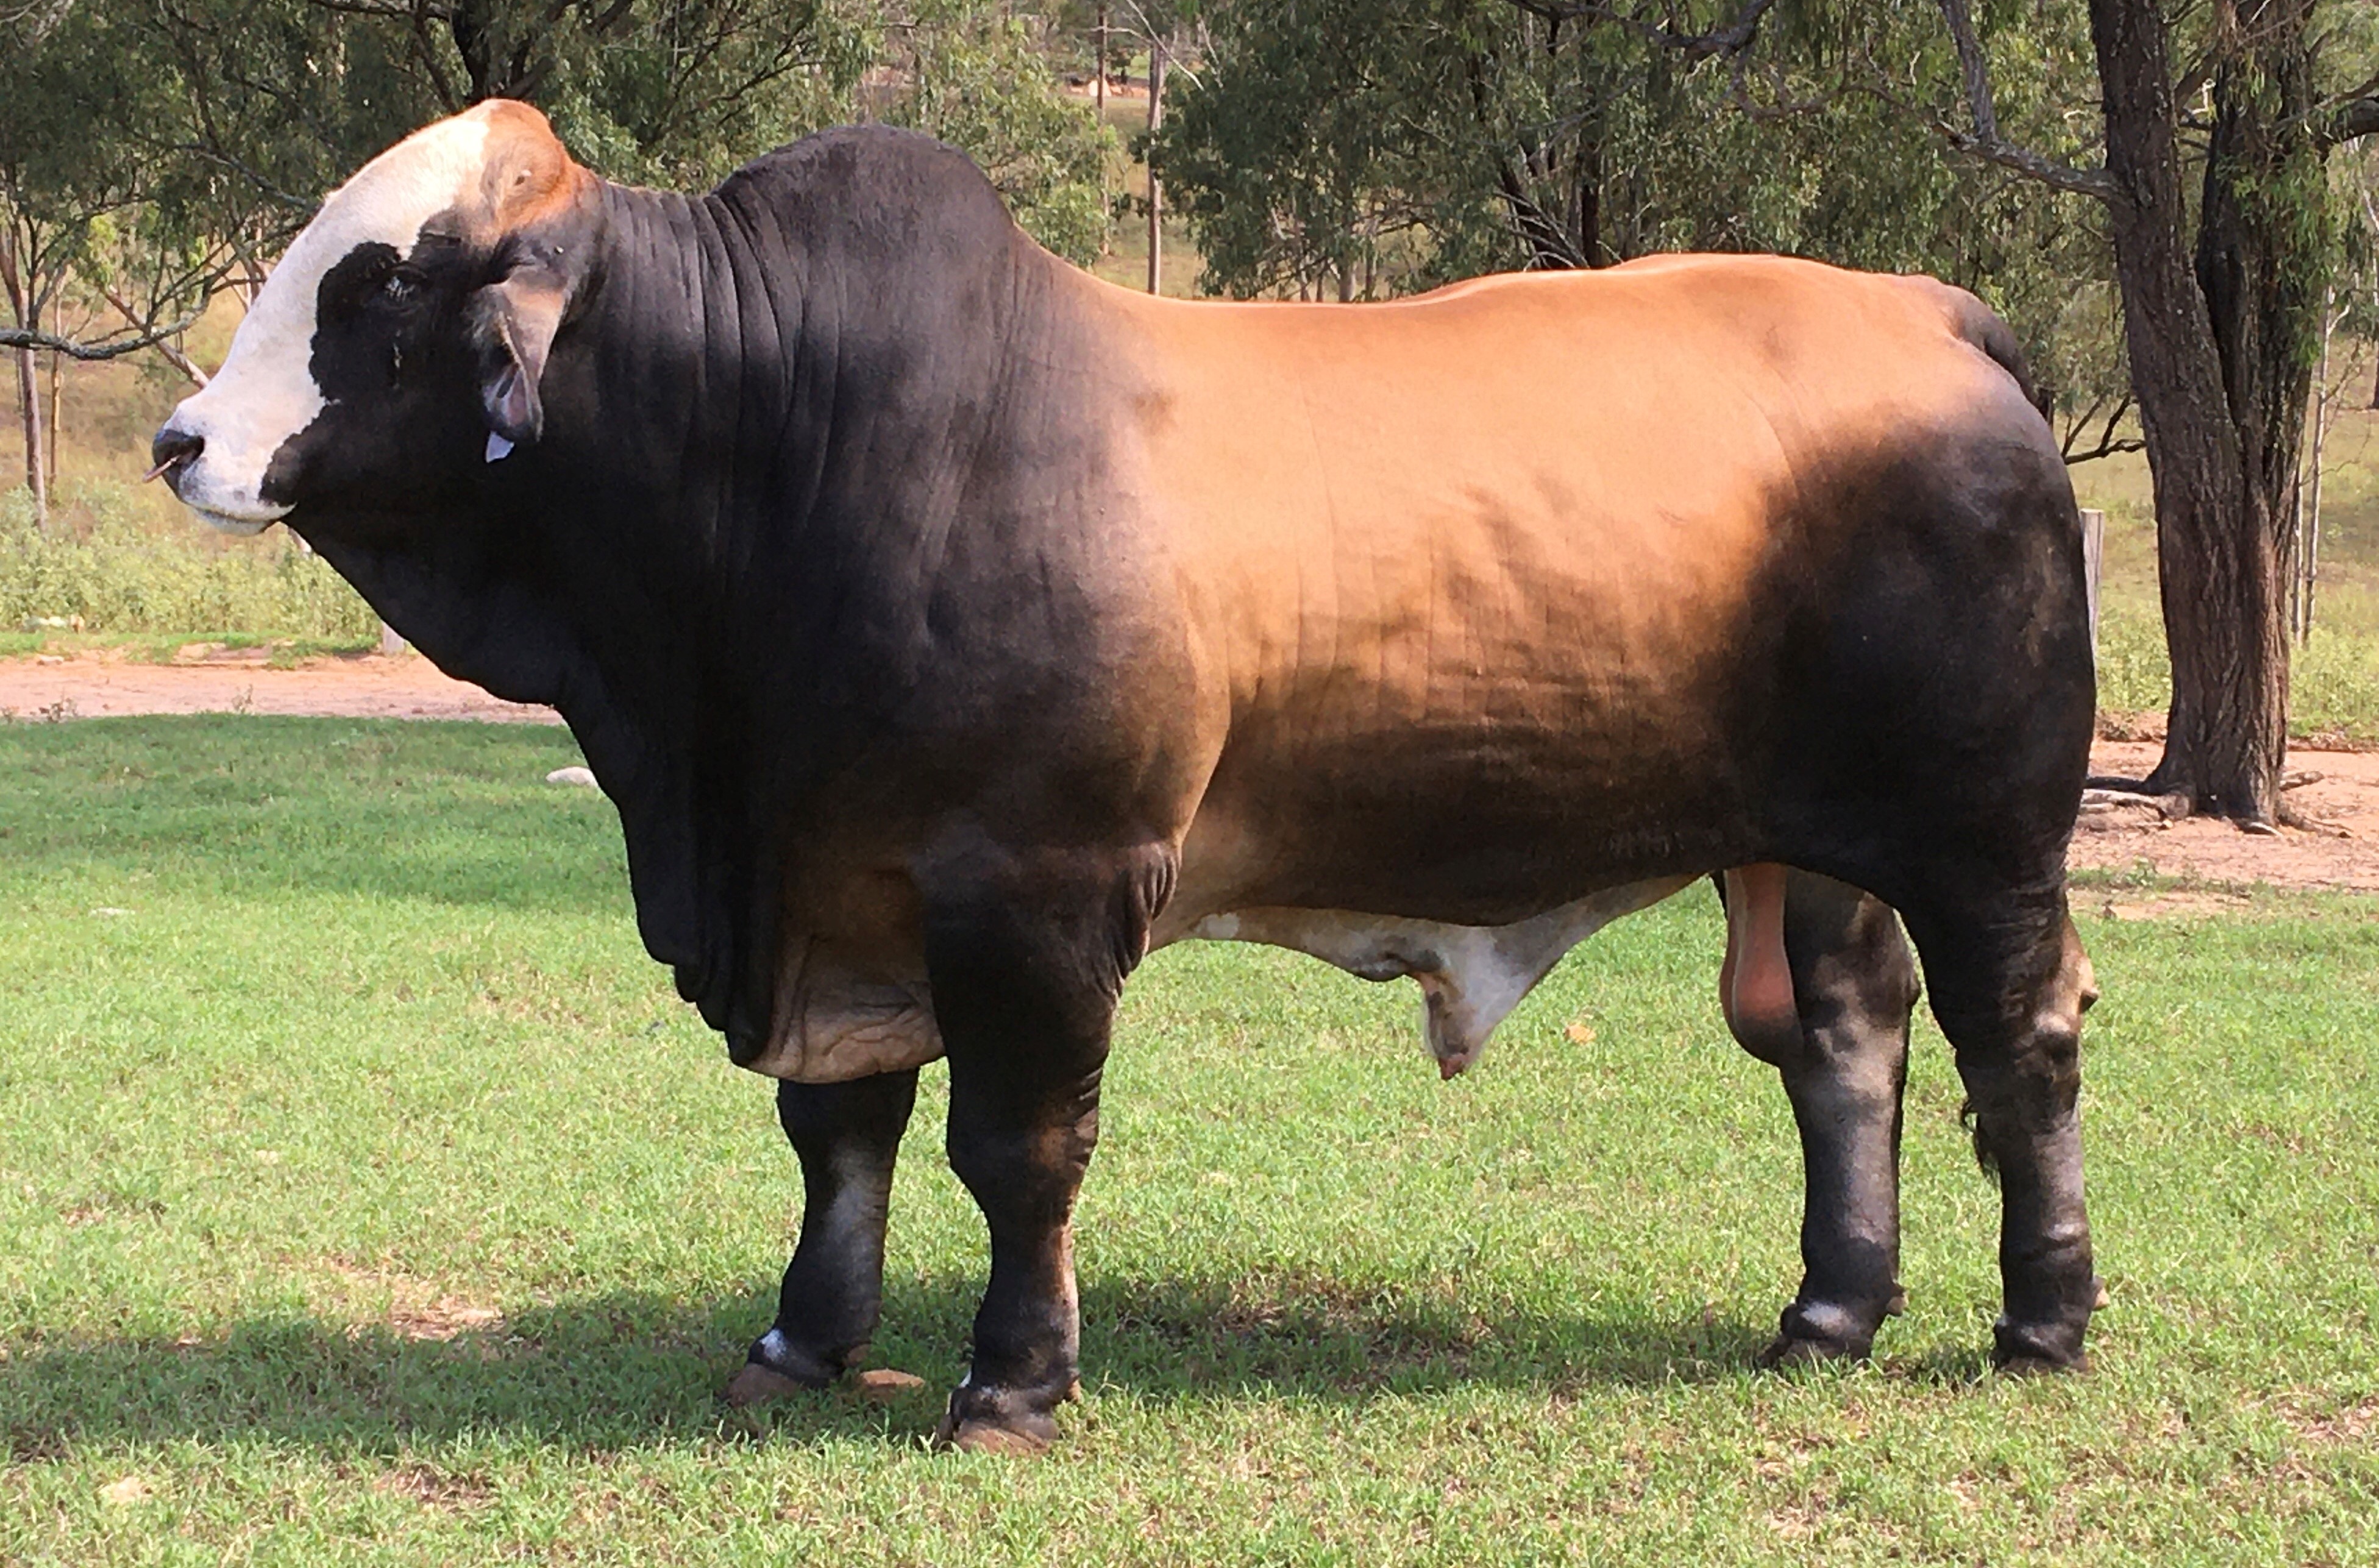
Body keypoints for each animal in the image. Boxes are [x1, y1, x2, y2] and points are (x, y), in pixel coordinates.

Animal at [153, 101, 2103, 1456]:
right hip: (1811, 846)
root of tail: (1936, 316)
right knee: (1839, 1039)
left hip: (1983, 833)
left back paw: (2040, 1322)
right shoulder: (843, 886)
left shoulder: (1028, 887)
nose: (180, 441)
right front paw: (803, 1339)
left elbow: (1016, 1146)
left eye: (381, 285)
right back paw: (1827, 1309)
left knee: (2015, 1038)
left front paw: (1010, 1384)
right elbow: (838, 1134)